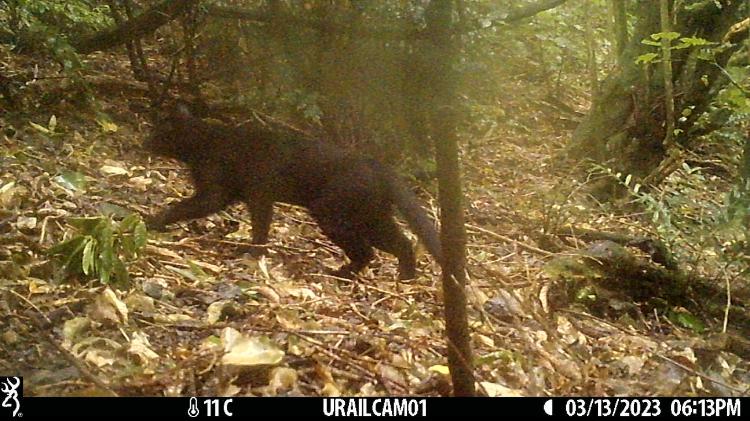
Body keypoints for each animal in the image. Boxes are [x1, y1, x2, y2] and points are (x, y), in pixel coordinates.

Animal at [144, 102, 444, 278]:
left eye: (157, 131)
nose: (143, 140)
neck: (204, 141)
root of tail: (379, 166)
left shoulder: (221, 193)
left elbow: (186, 207)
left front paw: (153, 221)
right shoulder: (248, 195)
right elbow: (260, 225)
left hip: (335, 214)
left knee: (369, 250)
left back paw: (345, 272)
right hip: (371, 217)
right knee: (401, 243)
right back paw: (402, 277)